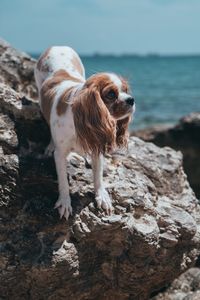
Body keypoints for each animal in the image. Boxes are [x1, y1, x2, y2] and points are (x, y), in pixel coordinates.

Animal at [34, 46, 135, 220]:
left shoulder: (97, 148)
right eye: (111, 94)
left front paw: (102, 196)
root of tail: (57, 46)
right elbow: (63, 181)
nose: (131, 99)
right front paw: (65, 202)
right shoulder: (60, 154)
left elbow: (98, 176)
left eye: (125, 90)